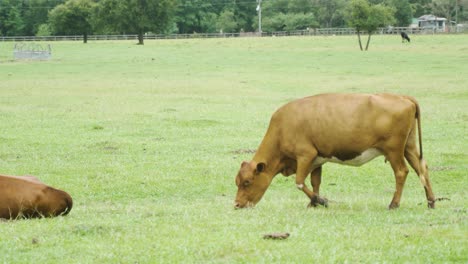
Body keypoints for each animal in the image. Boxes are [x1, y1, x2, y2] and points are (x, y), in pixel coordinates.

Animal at [236, 94, 436, 209]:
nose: (237, 204)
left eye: (247, 182)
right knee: (422, 168)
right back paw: (431, 201)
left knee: (401, 172)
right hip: (409, 147)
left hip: (394, 150)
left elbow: (299, 182)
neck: (282, 127)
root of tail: (403, 97)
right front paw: (314, 202)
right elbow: (315, 182)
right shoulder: (317, 159)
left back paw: (394, 204)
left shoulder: (305, 155)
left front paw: (321, 201)